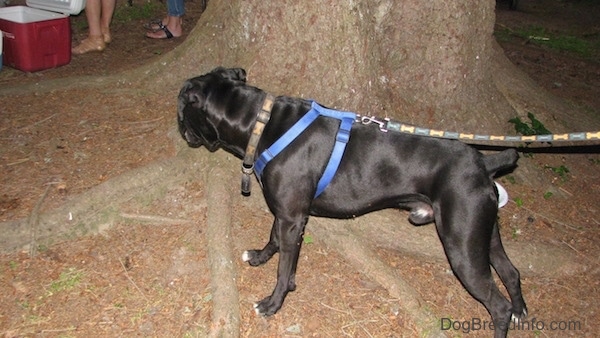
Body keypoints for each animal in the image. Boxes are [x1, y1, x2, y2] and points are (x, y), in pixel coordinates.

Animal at [177, 67, 524, 336]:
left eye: (181, 108)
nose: (179, 127)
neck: (261, 124)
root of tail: (484, 163)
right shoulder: (287, 213)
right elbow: (272, 237)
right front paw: (260, 257)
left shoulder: (292, 218)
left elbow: (284, 270)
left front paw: (273, 304)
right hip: (484, 235)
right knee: (511, 272)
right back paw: (522, 311)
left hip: (462, 247)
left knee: (498, 306)